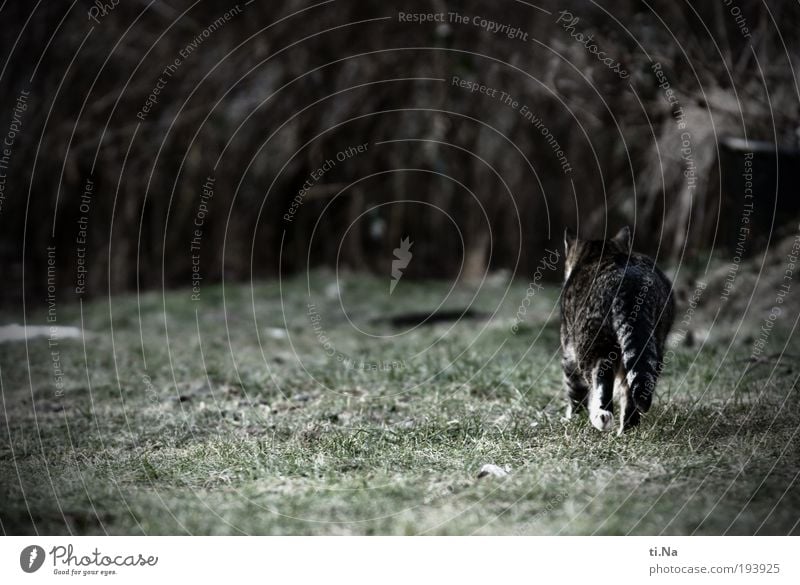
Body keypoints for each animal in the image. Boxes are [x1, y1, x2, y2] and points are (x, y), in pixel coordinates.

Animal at [564, 226, 676, 432]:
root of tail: (629, 282)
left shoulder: (568, 349)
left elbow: (575, 390)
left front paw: (573, 417)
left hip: (591, 342)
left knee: (599, 380)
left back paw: (600, 417)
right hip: (653, 341)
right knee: (633, 389)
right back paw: (628, 429)